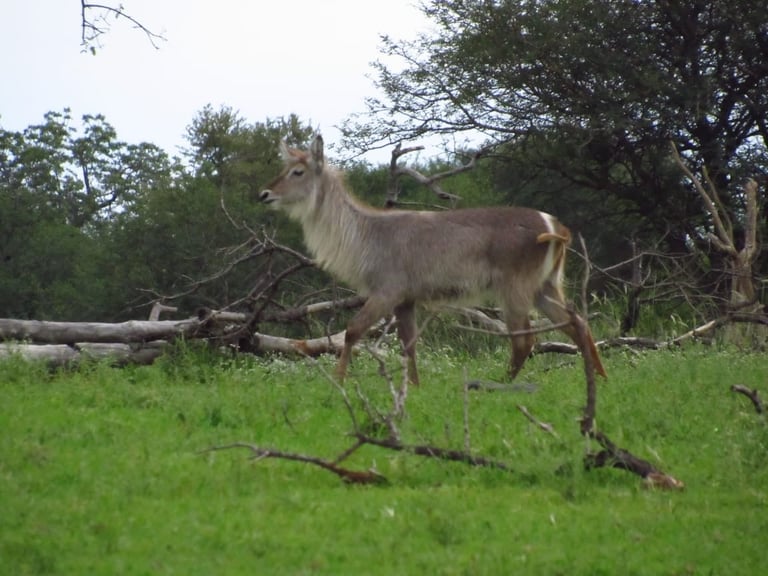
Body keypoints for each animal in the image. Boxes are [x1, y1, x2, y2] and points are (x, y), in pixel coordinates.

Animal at [259, 135, 605, 384]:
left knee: (525, 341)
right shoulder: (406, 299)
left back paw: (499, 384)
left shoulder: (387, 291)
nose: (264, 194)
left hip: (515, 288)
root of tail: (556, 227)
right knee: (577, 323)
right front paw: (413, 386)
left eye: (297, 171)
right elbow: (408, 343)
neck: (365, 236)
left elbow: (353, 330)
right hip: (546, 285)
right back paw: (600, 378)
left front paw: (338, 380)